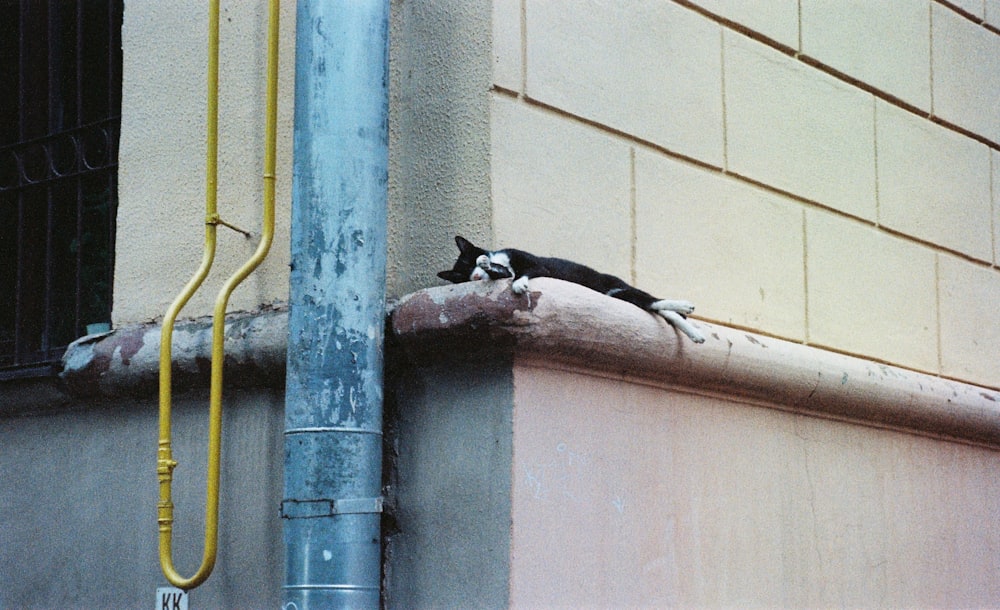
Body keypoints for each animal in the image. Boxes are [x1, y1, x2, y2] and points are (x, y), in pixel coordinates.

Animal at [436, 235, 704, 342]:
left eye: (468, 261)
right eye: (462, 277)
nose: (475, 274)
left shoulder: (538, 265)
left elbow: (523, 271)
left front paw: (516, 281)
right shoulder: (505, 271)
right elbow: (504, 273)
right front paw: (495, 270)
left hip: (618, 289)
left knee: (656, 301)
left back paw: (685, 307)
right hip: (622, 296)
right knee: (655, 306)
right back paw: (695, 333)